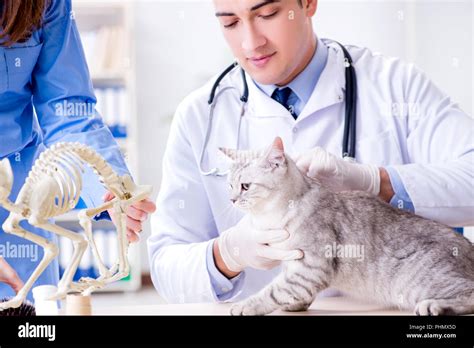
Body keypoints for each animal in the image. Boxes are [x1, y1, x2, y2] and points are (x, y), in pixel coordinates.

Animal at [221, 137, 474, 316]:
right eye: (229, 185)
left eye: (245, 186)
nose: (231, 199)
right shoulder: (295, 266)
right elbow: (292, 290)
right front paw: (298, 304)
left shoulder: (309, 267)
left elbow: (275, 291)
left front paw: (246, 305)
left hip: (417, 283)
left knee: (469, 294)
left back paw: (434, 305)